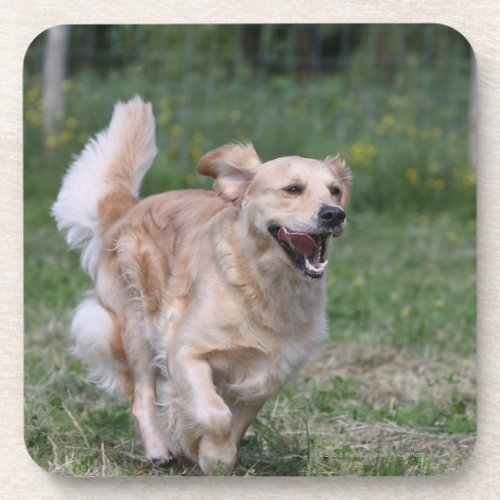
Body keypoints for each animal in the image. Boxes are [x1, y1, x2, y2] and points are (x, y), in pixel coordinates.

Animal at [51, 95, 352, 474]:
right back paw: (160, 448)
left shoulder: (267, 372)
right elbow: (214, 414)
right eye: (293, 189)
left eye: (335, 191)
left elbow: (237, 421)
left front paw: (209, 453)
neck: (263, 283)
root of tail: (131, 208)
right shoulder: (184, 349)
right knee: (141, 395)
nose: (334, 214)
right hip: (137, 324)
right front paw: (211, 453)